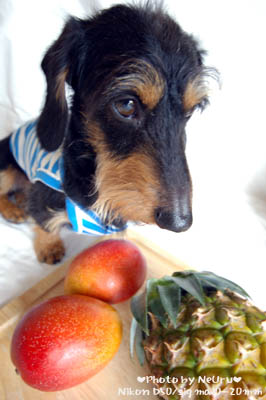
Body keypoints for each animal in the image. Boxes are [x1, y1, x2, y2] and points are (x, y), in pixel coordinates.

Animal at [0, 3, 213, 266]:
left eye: (191, 110)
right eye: (126, 105)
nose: (179, 222)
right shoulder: (44, 195)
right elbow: (44, 222)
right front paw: (49, 247)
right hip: (6, 165)